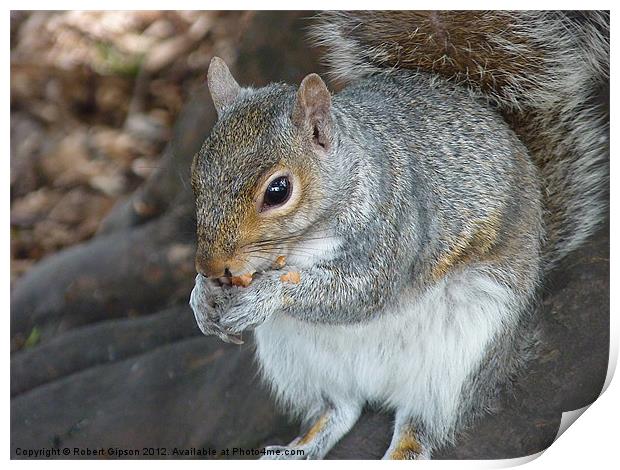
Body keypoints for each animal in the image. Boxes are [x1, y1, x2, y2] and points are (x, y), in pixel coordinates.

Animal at [186, 10, 608, 458]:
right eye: (196, 175)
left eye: (278, 190)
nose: (210, 266)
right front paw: (201, 297)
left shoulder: (398, 228)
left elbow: (360, 293)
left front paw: (267, 293)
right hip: (298, 360)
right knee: (340, 409)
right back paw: (298, 449)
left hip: (461, 356)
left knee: (420, 424)